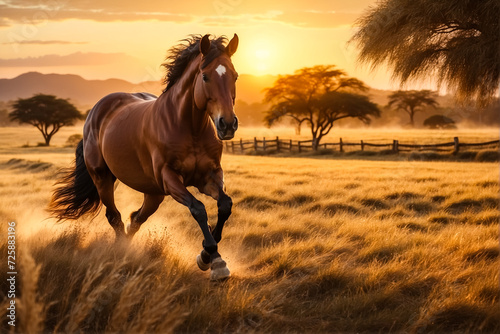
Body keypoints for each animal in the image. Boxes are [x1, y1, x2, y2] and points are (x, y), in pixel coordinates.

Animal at [47, 34, 239, 280]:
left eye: (235, 76)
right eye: (205, 76)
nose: (227, 125)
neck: (190, 128)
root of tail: (95, 112)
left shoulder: (209, 176)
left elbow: (225, 205)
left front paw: (209, 256)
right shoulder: (170, 178)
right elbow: (198, 208)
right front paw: (213, 259)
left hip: (153, 194)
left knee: (135, 219)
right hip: (103, 179)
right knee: (115, 218)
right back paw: (120, 254)